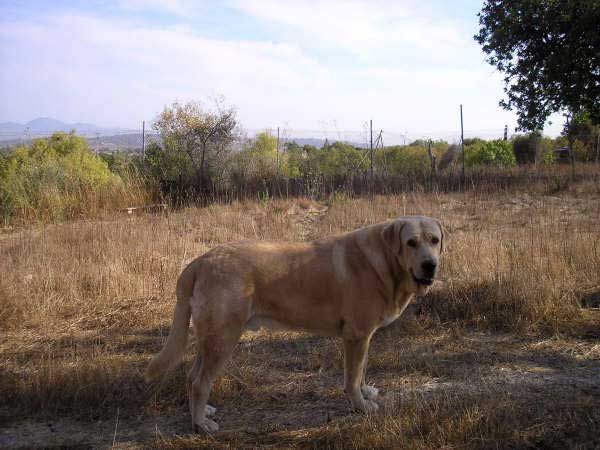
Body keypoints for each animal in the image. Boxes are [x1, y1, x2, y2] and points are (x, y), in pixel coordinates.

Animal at [145, 216, 446, 434]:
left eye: (434, 240)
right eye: (411, 242)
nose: (430, 265)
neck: (385, 261)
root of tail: (199, 262)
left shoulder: (363, 337)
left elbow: (360, 372)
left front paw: (366, 392)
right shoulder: (356, 335)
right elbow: (351, 378)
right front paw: (360, 406)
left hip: (211, 339)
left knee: (192, 376)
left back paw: (202, 411)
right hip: (223, 339)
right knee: (200, 381)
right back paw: (200, 424)